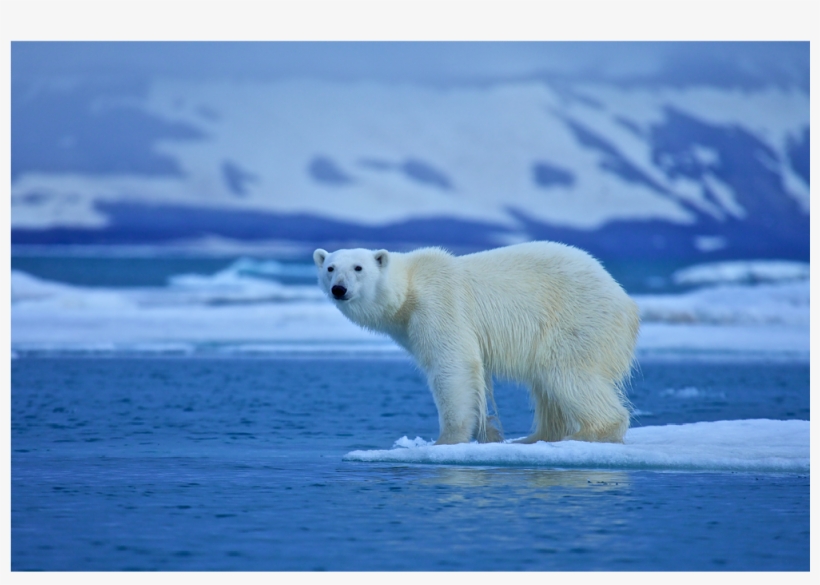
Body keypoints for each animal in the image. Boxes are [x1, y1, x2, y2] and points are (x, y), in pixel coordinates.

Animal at [313, 241, 640, 445]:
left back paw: (590, 432)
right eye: (330, 267)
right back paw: (534, 437)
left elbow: (453, 365)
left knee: (567, 374)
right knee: (547, 386)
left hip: (576, 319)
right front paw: (490, 432)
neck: (408, 290)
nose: (339, 289)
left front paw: (446, 439)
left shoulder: (439, 305)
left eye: (358, 268)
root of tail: (627, 302)